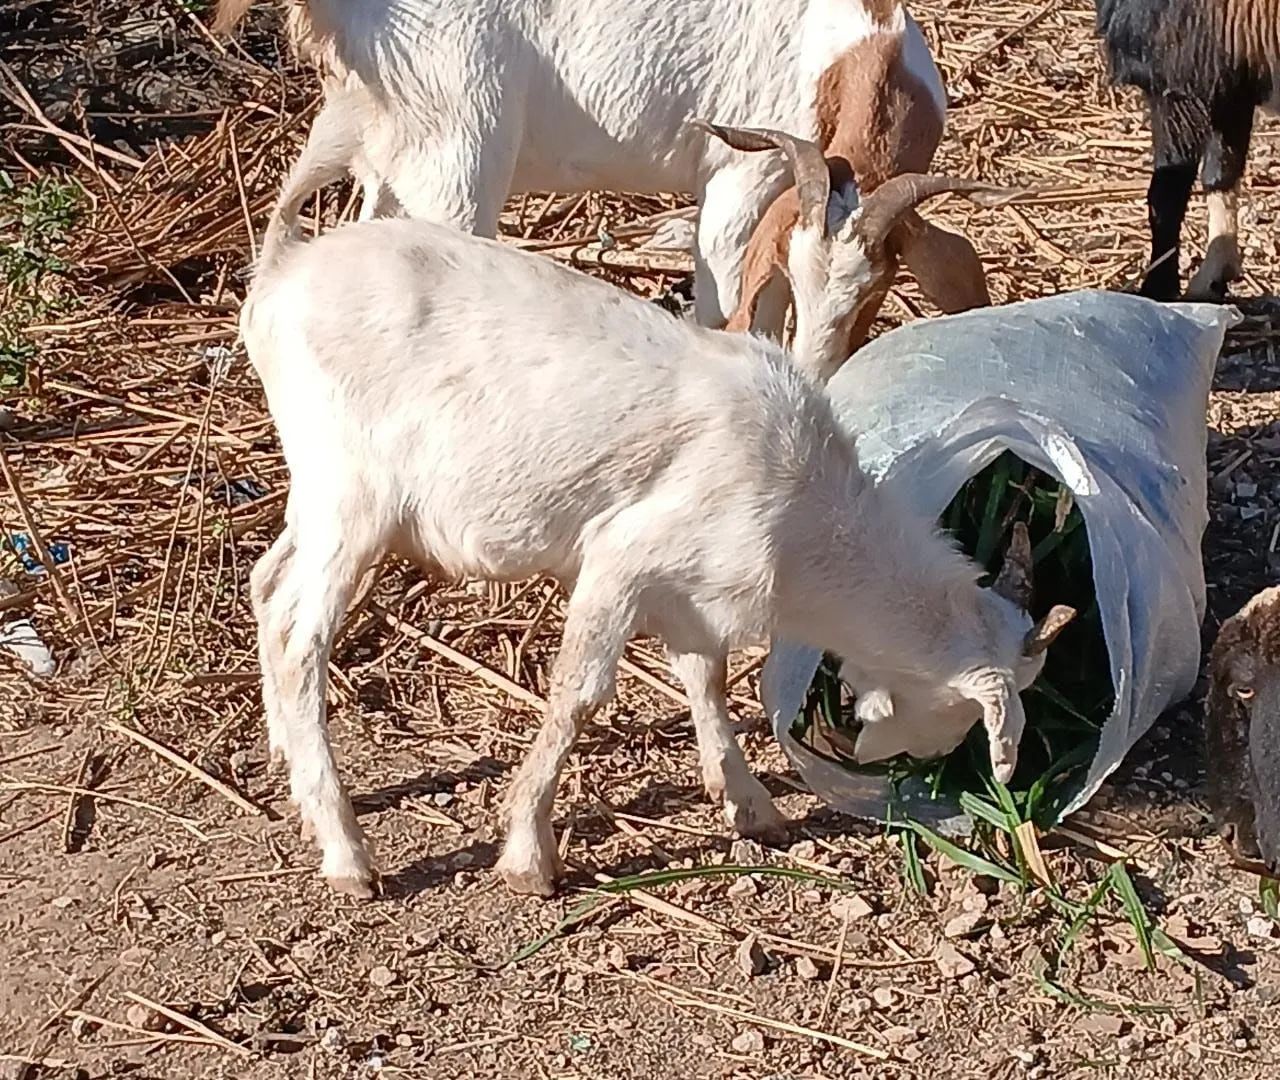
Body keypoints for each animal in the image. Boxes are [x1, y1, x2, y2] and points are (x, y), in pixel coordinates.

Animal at [241, 196, 1074, 899]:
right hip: (352, 495)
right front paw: (528, 853)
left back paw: (287, 761)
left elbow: (705, 676)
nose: (902, 763)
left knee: (267, 584)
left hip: (315, 489)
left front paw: (748, 801)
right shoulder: (622, 558)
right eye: (971, 716)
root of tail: (277, 281)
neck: (810, 512)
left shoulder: (692, 588)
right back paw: (347, 853)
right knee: (301, 640)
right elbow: (579, 696)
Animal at [1096, 0, 1279, 301]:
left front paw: (1159, 287)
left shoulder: (1183, 78)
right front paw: (1214, 278)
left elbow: (1167, 192)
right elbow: (1221, 172)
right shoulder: (1228, 81)